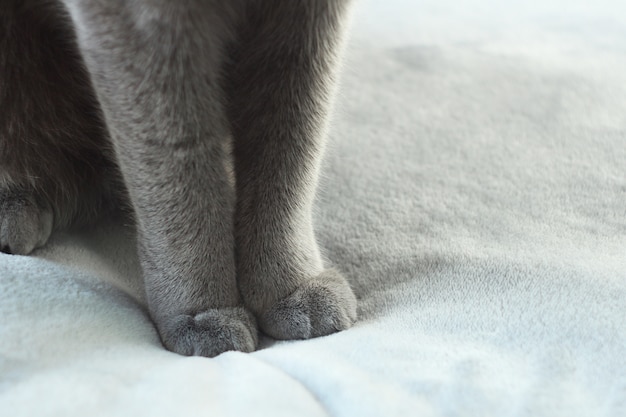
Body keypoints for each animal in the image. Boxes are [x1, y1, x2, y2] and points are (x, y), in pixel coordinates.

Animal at [1, 0, 356, 358]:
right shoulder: (140, 21)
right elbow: (179, 162)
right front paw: (204, 314)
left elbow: (293, 136)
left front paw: (294, 287)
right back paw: (15, 206)